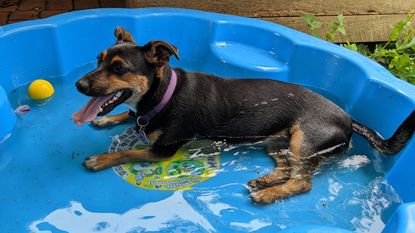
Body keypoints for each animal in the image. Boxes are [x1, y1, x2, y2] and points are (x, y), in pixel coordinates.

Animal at [73, 26, 415, 203]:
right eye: (98, 60)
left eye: (118, 68)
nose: (79, 85)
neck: (162, 94)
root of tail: (348, 118)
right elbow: (129, 117)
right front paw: (108, 118)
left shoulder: (163, 151)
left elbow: (128, 151)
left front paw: (100, 159)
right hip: (278, 141)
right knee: (287, 168)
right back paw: (265, 180)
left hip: (304, 139)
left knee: (303, 182)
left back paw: (269, 194)